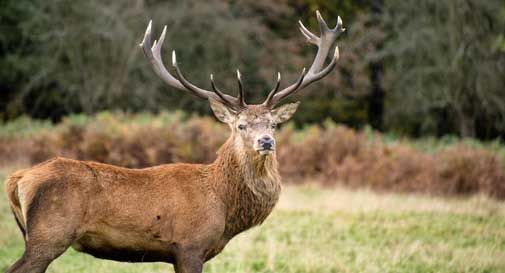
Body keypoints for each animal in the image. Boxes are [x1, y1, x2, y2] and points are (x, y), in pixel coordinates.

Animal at [2, 10, 342, 272]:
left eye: (273, 124)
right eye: (241, 125)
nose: (266, 142)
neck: (223, 204)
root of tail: (19, 177)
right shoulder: (190, 245)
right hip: (49, 235)